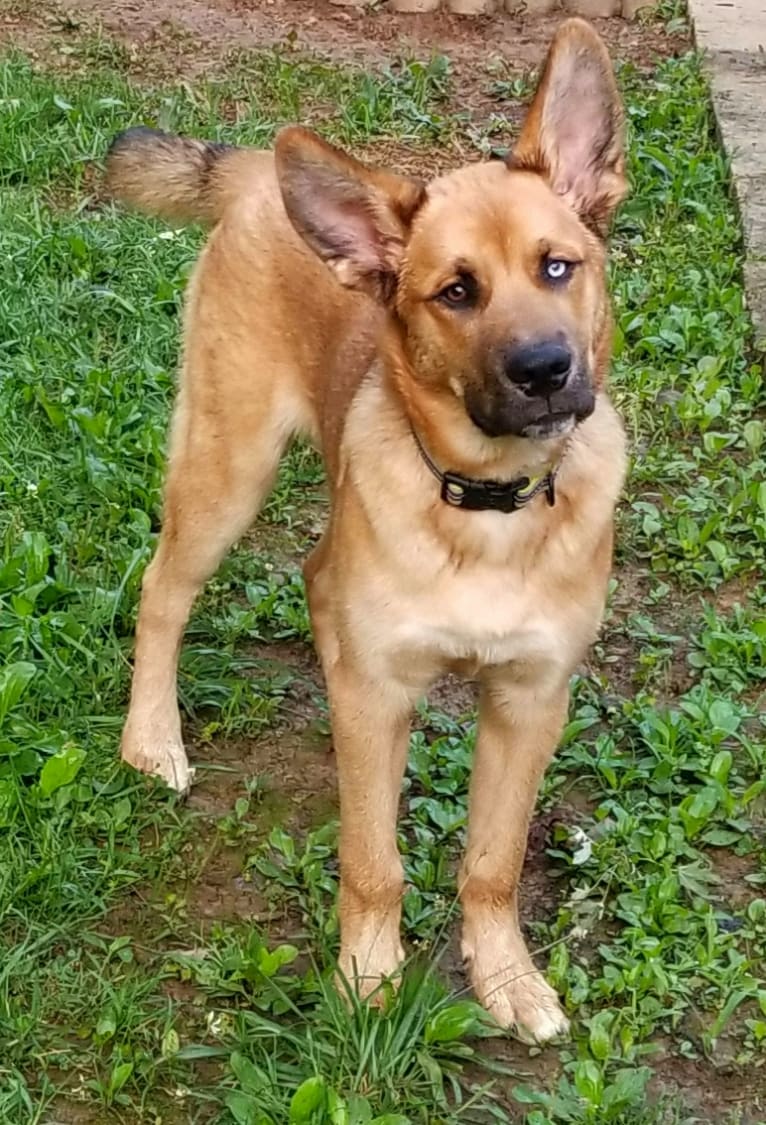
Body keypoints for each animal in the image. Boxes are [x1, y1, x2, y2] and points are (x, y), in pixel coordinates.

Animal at [107, 17, 625, 1039]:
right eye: (456, 292)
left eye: (558, 265)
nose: (546, 370)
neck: (488, 506)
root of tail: (258, 176)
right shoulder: (383, 696)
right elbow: (373, 861)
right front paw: (368, 979)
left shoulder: (530, 700)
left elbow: (494, 861)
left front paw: (507, 978)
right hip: (228, 467)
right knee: (162, 590)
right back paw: (152, 739)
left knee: (316, 573)